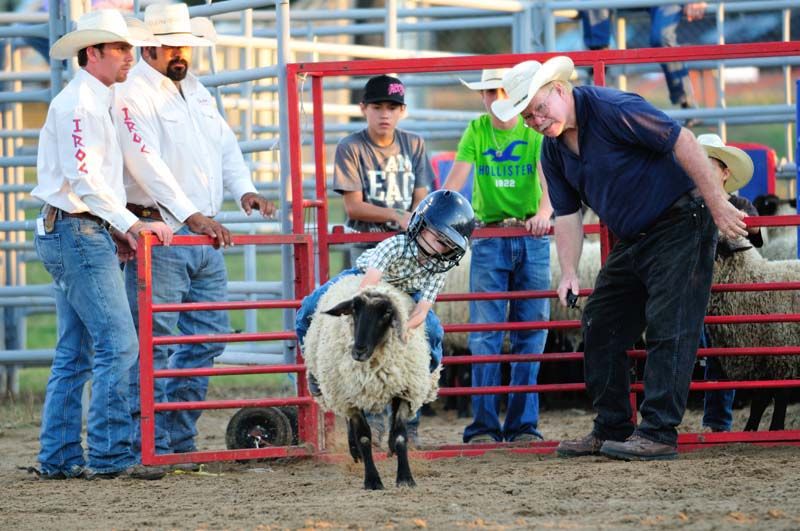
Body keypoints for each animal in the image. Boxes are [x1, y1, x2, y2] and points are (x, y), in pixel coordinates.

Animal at [302, 274, 438, 490]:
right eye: (354, 309)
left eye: (387, 313)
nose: (358, 350)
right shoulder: (351, 396)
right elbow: (364, 437)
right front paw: (373, 480)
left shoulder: (404, 391)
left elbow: (401, 436)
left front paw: (405, 478)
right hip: (341, 391)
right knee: (349, 421)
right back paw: (354, 450)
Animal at [708, 242, 800, 432]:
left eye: (718, 247)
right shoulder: (761, 359)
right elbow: (760, 400)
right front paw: (749, 430)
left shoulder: (783, 354)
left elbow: (777, 397)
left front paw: (775, 429)